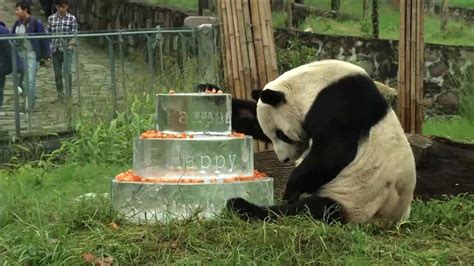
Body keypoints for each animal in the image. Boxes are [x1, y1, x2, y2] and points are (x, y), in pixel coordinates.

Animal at [220, 60, 416, 224]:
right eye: (272, 136)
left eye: (282, 135)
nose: (284, 159)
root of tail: (390, 220)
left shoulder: (340, 104)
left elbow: (334, 152)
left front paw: (291, 190)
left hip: (356, 199)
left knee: (312, 209)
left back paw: (242, 206)